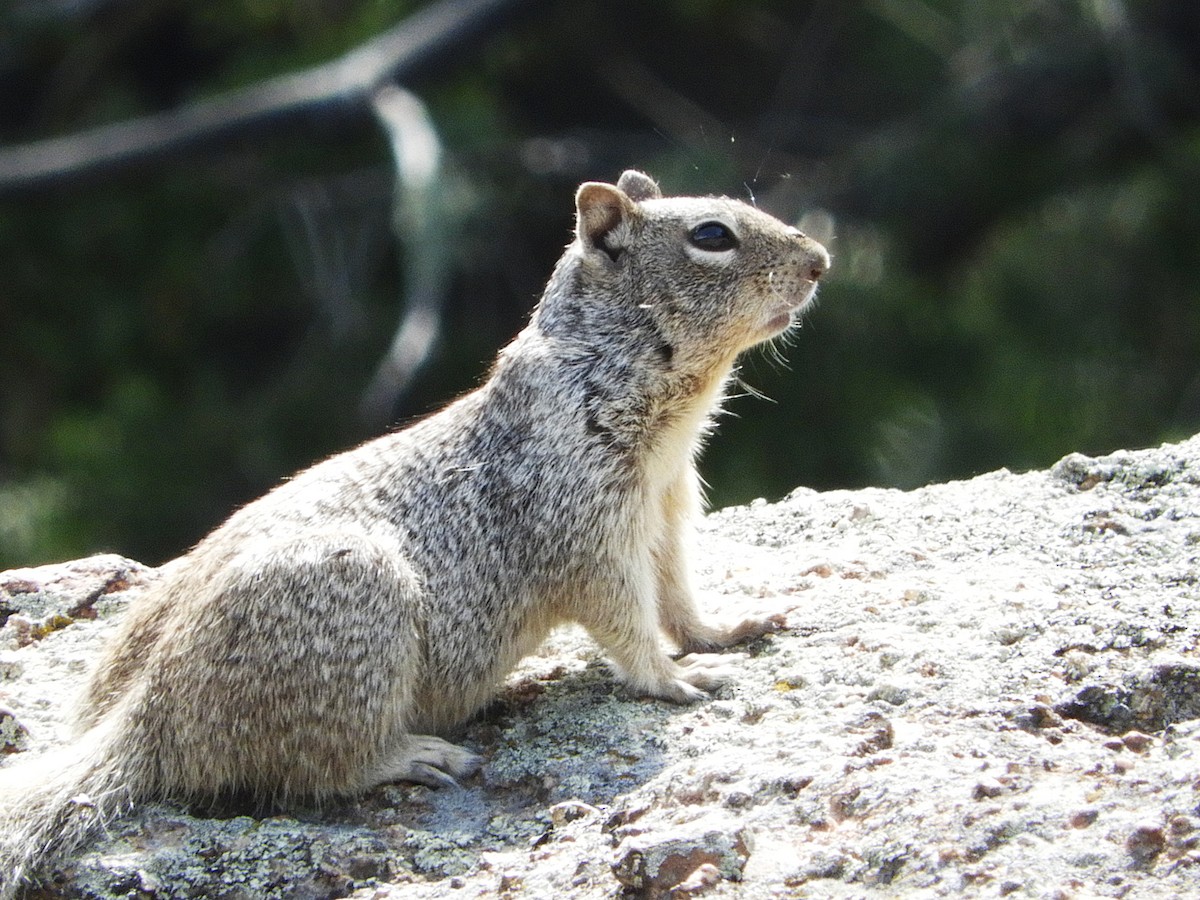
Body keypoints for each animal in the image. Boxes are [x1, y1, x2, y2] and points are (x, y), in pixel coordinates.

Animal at [0, 169, 828, 895]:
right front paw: (674, 679)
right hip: (354, 623)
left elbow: (681, 598)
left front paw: (728, 630)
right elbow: (627, 623)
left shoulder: (667, 514)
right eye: (712, 235)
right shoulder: (587, 532)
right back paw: (415, 756)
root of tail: (150, 717)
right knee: (316, 770)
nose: (821, 259)